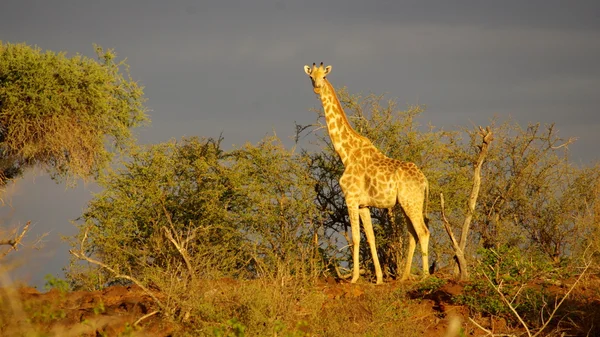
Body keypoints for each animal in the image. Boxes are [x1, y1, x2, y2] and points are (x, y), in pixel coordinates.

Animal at [304, 61, 432, 282]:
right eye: (311, 76)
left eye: (324, 76)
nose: (317, 87)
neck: (346, 153)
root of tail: (424, 180)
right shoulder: (364, 204)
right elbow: (370, 238)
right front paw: (379, 279)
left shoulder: (351, 198)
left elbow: (355, 238)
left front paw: (354, 278)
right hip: (407, 203)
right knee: (412, 234)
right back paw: (404, 276)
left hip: (411, 201)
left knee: (423, 232)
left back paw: (424, 276)